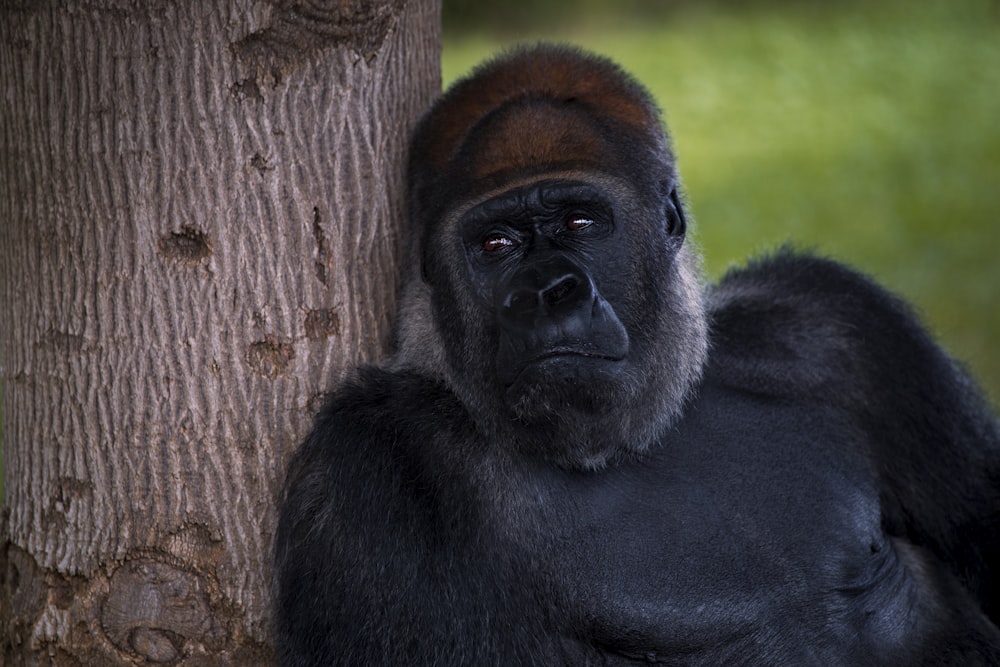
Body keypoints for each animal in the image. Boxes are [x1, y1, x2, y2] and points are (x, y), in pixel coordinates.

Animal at [272, 44, 1000, 664]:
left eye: (580, 221)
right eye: (495, 244)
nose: (546, 293)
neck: (648, 426)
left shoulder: (835, 325)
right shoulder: (368, 463)